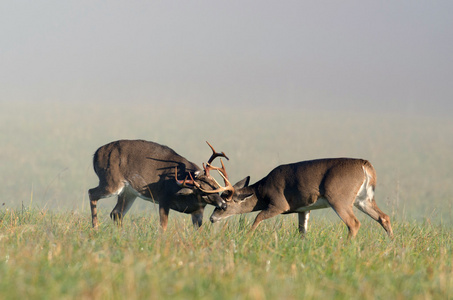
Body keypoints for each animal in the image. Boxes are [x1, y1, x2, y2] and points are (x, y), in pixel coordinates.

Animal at [88, 139, 230, 231]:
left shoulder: (198, 210)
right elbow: (163, 227)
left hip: (128, 192)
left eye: (215, 187)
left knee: (116, 213)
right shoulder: (164, 198)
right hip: (111, 181)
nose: (224, 205)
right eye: (203, 193)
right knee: (91, 193)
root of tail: (95, 155)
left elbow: (199, 231)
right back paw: (95, 228)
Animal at [207, 157, 392, 239]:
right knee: (384, 217)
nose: (212, 218)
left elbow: (257, 217)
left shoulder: (279, 203)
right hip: (363, 199)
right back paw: (392, 243)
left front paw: (247, 237)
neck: (262, 192)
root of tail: (365, 165)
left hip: (340, 198)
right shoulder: (304, 209)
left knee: (354, 223)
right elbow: (302, 230)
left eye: (224, 205)